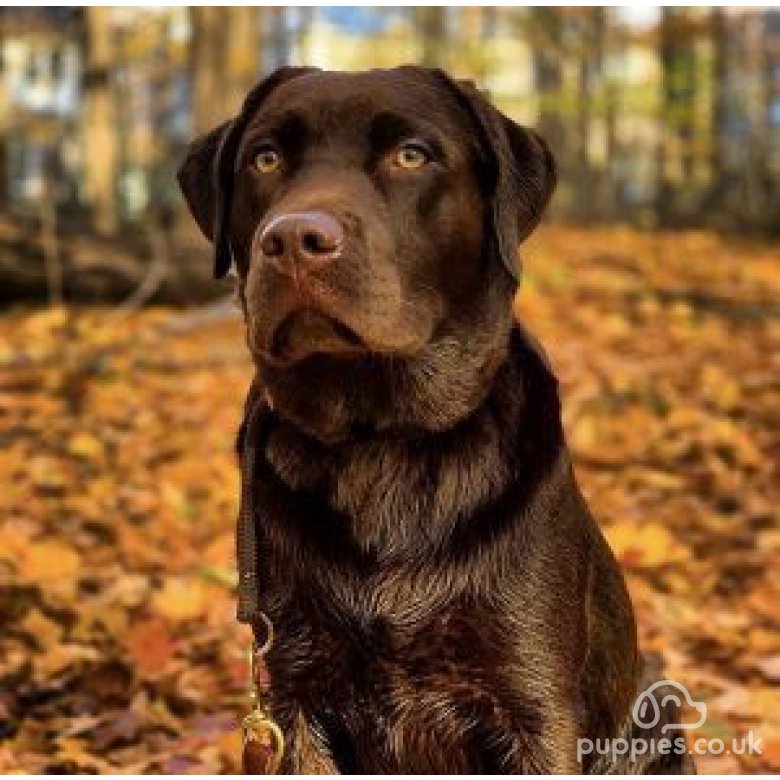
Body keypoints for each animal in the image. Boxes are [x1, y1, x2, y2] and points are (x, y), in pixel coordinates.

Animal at [178, 64, 696, 772]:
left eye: (411, 155)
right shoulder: (291, 694)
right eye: (265, 158)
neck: (383, 439)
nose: (291, 240)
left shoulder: (535, 701)